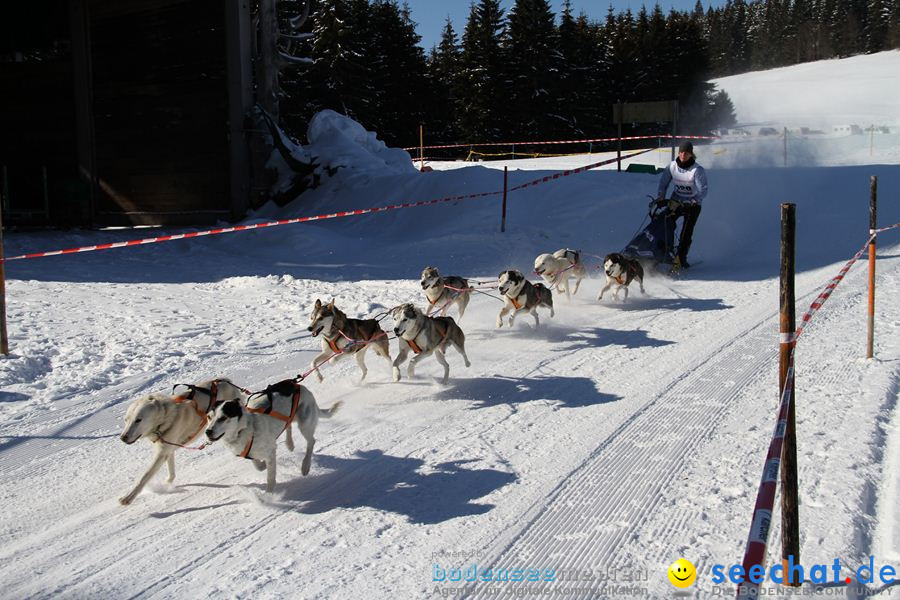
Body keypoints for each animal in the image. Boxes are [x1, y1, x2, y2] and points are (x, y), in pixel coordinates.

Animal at [118, 378, 250, 504]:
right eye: (126, 420)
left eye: (138, 420)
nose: (122, 438)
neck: (165, 420)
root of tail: (224, 380)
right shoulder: (167, 449)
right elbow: (171, 472)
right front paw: (167, 483)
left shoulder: (161, 453)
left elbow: (144, 477)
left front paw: (128, 497)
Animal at [204, 380, 342, 492]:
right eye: (209, 417)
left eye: (223, 418)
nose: (208, 432)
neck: (245, 428)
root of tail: (299, 386)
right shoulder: (251, 452)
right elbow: (258, 466)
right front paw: (263, 465)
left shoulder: (270, 451)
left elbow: (270, 476)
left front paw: (269, 493)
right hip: (291, 417)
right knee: (288, 425)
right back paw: (289, 444)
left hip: (305, 423)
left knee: (311, 442)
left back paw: (305, 466)